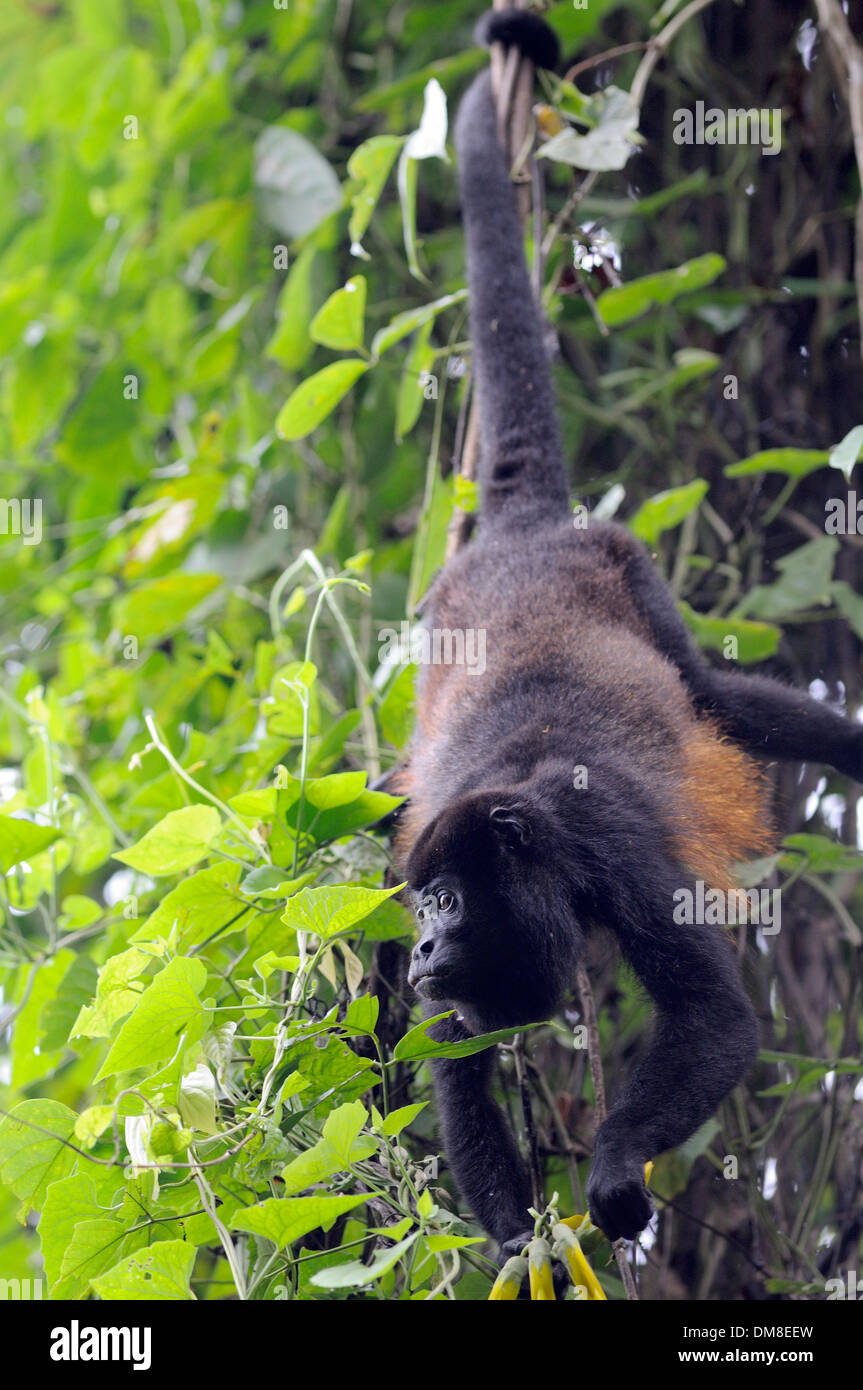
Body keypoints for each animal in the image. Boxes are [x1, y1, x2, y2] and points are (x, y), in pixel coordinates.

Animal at [386, 9, 863, 1258]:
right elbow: (451, 1061)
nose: (418, 947)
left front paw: (606, 1175)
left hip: (628, 566)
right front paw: (521, 1246)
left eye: (447, 904)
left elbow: (714, 1014)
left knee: (723, 699)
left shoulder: (604, 838)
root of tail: (518, 532)